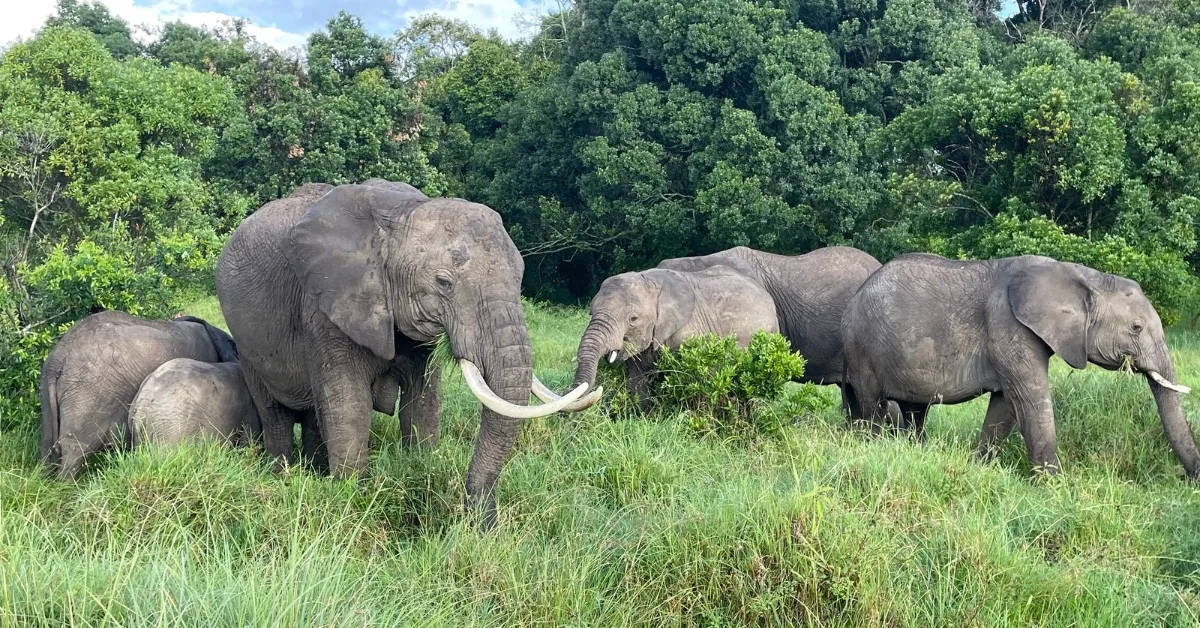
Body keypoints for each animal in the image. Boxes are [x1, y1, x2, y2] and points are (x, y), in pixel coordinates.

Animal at [214, 179, 597, 529]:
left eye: (519, 280)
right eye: (444, 282)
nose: (481, 524)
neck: (401, 214)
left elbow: (423, 404)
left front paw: (420, 469)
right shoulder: (324, 307)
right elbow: (349, 409)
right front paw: (353, 500)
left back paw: (314, 471)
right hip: (247, 343)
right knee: (275, 413)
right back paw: (283, 474)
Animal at [840, 253, 1200, 479]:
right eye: (1136, 328)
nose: (1191, 480)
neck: (1083, 276)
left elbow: (1005, 408)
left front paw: (980, 468)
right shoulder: (1008, 326)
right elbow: (1030, 401)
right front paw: (1054, 487)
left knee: (914, 410)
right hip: (863, 347)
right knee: (872, 406)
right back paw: (871, 446)